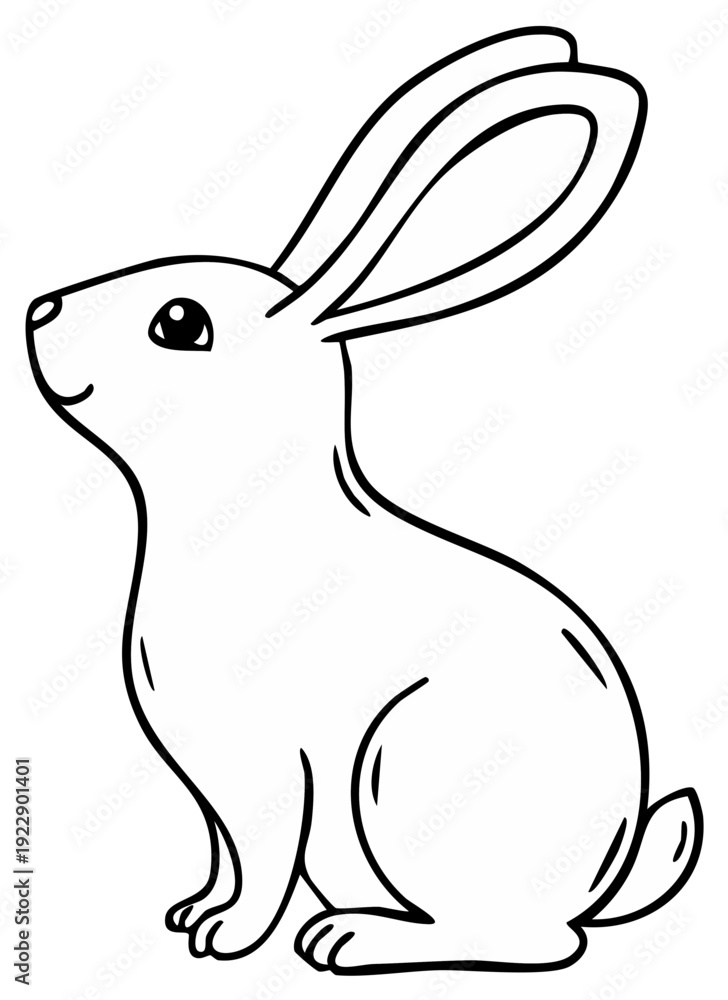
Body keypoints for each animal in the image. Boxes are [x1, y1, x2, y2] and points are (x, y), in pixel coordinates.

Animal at [27, 26, 702, 975]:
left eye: (180, 323)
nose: (38, 311)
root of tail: (602, 876)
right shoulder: (217, 788)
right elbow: (227, 855)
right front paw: (193, 914)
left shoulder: (273, 766)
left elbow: (264, 859)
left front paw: (228, 940)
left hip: (405, 769)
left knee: (531, 942)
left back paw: (350, 940)